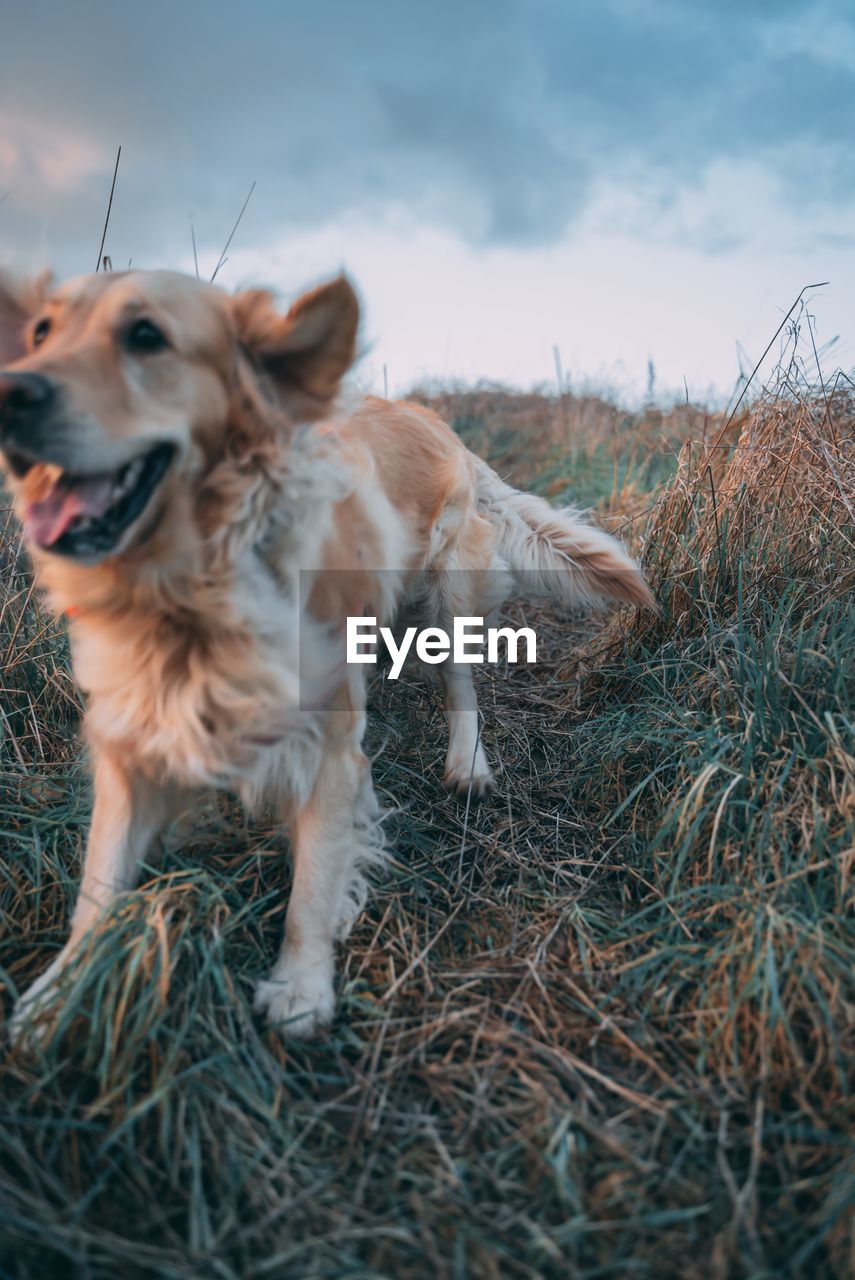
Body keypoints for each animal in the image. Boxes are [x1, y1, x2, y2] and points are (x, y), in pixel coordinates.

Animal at [0, 264, 655, 1034]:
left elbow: (312, 882)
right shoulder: (133, 743)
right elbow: (97, 886)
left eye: (145, 335)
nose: (12, 393)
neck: (192, 591)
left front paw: (301, 987)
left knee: (460, 686)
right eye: (41, 333)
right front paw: (53, 999)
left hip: (449, 595)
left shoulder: (328, 745)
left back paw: (466, 762)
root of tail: (438, 423)